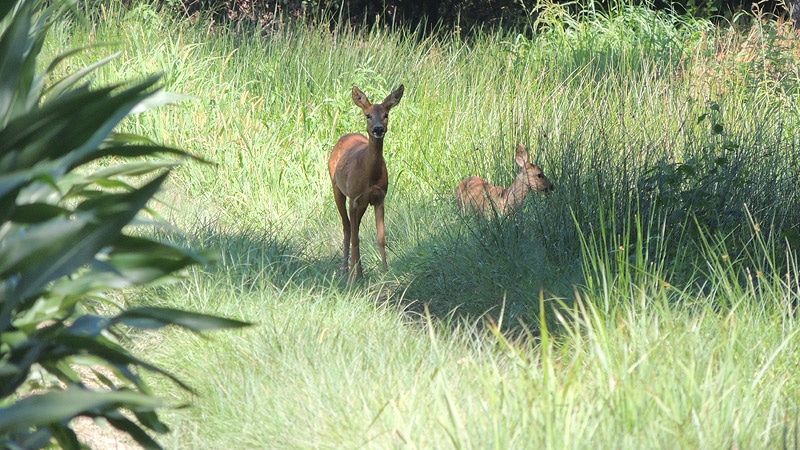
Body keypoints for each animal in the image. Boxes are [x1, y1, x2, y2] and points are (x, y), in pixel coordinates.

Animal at [326, 82, 404, 276]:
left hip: (361, 203)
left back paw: (358, 270)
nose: (378, 129)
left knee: (355, 229)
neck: (370, 176)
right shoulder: (354, 198)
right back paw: (346, 271)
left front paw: (386, 272)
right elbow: (355, 237)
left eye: (386, 115)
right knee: (347, 227)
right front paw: (353, 277)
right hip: (337, 188)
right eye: (368, 115)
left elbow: (381, 237)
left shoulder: (379, 198)